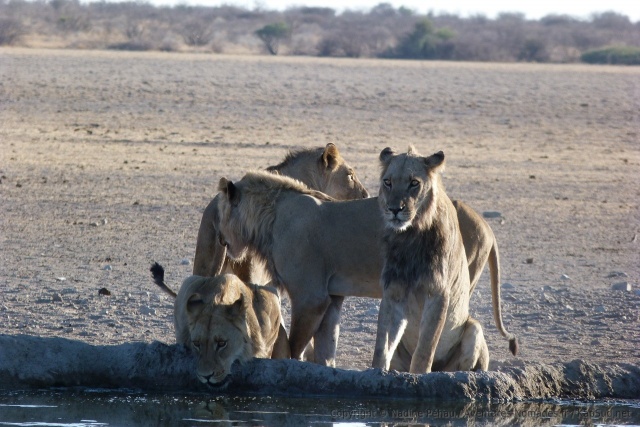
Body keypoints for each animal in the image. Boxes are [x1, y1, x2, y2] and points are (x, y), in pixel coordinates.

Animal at [214, 164, 517, 367]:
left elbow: (294, 347)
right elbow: (325, 349)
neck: (272, 213)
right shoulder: (332, 296)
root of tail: (487, 227)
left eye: (221, 212)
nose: (220, 239)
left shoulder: (311, 296)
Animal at [372, 147, 517, 373]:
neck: (411, 236)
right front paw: (376, 372)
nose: (395, 209)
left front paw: (417, 376)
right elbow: (381, 346)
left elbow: (425, 348)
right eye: (388, 182)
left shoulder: (438, 293)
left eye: (414, 183)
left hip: (473, 328)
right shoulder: (393, 290)